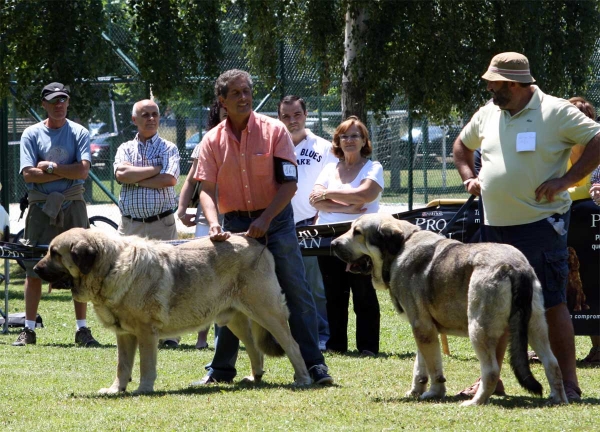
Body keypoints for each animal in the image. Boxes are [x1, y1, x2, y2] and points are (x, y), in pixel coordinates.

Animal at [34, 228, 312, 394]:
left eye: (55, 253)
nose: (35, 269)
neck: (110, 267)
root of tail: (256, 242)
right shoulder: (124, 335)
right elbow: (122, 366)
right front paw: (116, 389)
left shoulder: (146, 333)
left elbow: (145, 365)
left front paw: (144, 389)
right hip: (235, 319)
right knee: (255, 350)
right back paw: (255, 379)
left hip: (267, 312)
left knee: (293, 345)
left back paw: (303, 378)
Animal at [330, 214, 564, 406]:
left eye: (357, 232)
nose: (332, 244)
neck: (400, 248)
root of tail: (515, 267)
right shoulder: (423, 330)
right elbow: (420, 366)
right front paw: (416, 391)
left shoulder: (423, 328)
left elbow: (435, 368)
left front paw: (435, 392)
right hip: (534, 326)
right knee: (552, 363)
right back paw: (558, 398)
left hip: (478, 328)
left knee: (491, 371)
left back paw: (475, 402)